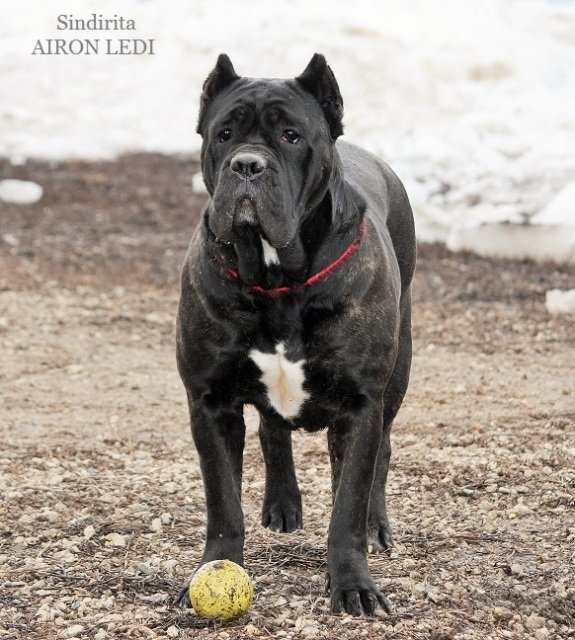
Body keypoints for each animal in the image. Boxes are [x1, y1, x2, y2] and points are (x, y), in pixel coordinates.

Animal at [176, 53, 416, 616]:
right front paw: (215, 570)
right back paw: (282, 506)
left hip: (398, 374)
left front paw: (354, 585)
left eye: (290, 136)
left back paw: (377, 526)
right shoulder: (210, 402)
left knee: (381, 454)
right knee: (273, 431)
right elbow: (223, 501)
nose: (247, 165)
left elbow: (348, 505)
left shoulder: (360, 404)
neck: (276, 278)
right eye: (224, 134)